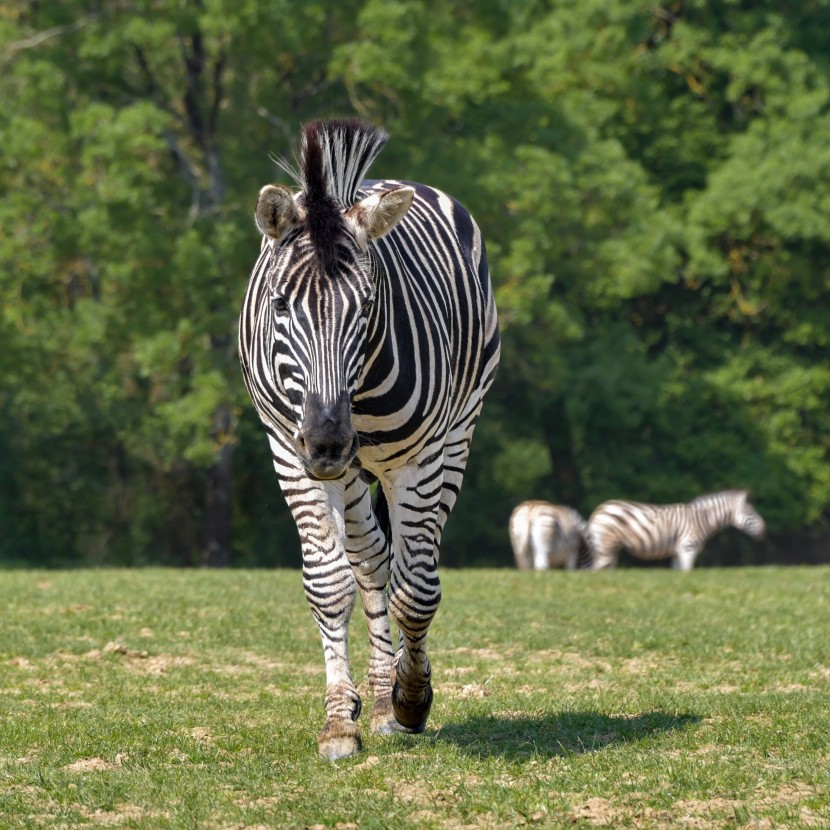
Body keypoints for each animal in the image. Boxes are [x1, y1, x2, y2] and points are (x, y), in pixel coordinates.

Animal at [239, 118, 500, 760]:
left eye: (369, 306)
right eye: (280, 306)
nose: (328, 442)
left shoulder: (418, 460)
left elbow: (417, 589)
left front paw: (412, 698)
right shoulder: (289, 452)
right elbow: (331, 582)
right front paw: (340, 719)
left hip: (456, 437)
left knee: (412, 563)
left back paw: (395, 695)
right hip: (354, 474)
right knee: (373, 560)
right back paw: (377, 695)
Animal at [588, 488, 772, 572]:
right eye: (750, 513)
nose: (764, 529)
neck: (701, 520)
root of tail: (599, 509)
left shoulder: (677, 552)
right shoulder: (687, 549)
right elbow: (687, 573)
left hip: (611, 549)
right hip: (606, 547)